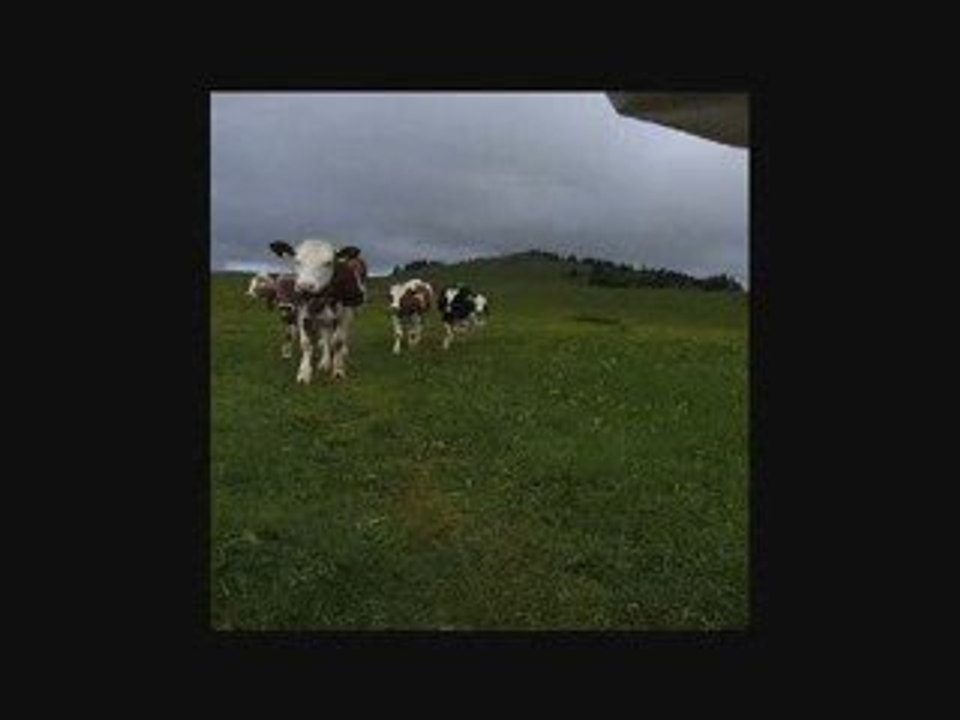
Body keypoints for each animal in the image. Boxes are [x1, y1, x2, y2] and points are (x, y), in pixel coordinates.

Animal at [268, 239, 368, 383]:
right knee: (326, 336)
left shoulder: (345, 315)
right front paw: (304, 373)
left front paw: (338, 370)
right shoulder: (303, 313)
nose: (305, 287)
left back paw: (342, 353)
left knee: (342, 336)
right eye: (297, 261)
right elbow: (306, 343)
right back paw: (324, 362)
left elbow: (338, 341)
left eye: (328, 263)